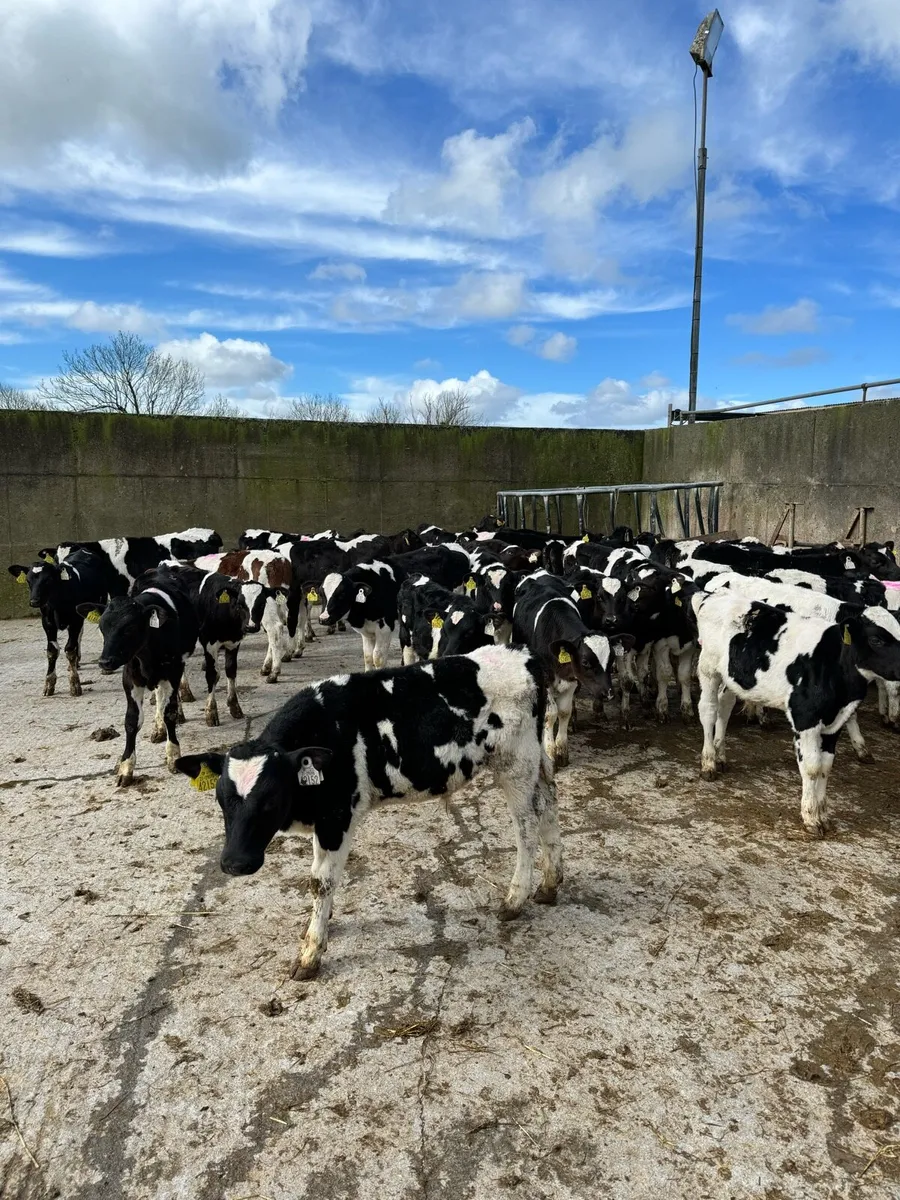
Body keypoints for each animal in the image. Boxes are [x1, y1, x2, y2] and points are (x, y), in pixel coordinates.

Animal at [8, 550, 110, 696]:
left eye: (48, 580)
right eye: (28, 580)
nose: (34, 601)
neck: (57, 602)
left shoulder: (75, 621)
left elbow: (70, 649)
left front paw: (75, 684)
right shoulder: (47, 622)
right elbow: (52, 651)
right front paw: (49, 684)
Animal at [174, 644, 563, 979]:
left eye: (270, 798)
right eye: (221, 799)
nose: (234, 864)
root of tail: (524, 655)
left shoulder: (336, 817)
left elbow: (321, 881)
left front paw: (311, 953)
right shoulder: (324, 818)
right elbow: (319, 880)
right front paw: (322, 925)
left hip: (516, 764)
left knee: (526, 826)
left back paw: (515, 898)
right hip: (535, 763)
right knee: (548, 806)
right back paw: (550, 883)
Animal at [689, 584, 900, 835]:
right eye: (876, 639)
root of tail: (712, 594)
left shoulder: (834, 722)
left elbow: (825, 766)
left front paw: (822, 814)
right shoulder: (805, 718)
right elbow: (812, 766)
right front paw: (810, 817)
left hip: (733, 677)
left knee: (725, 706)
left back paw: (720, 754)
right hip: (708, 670)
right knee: (709, 711)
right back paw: (709, 762)